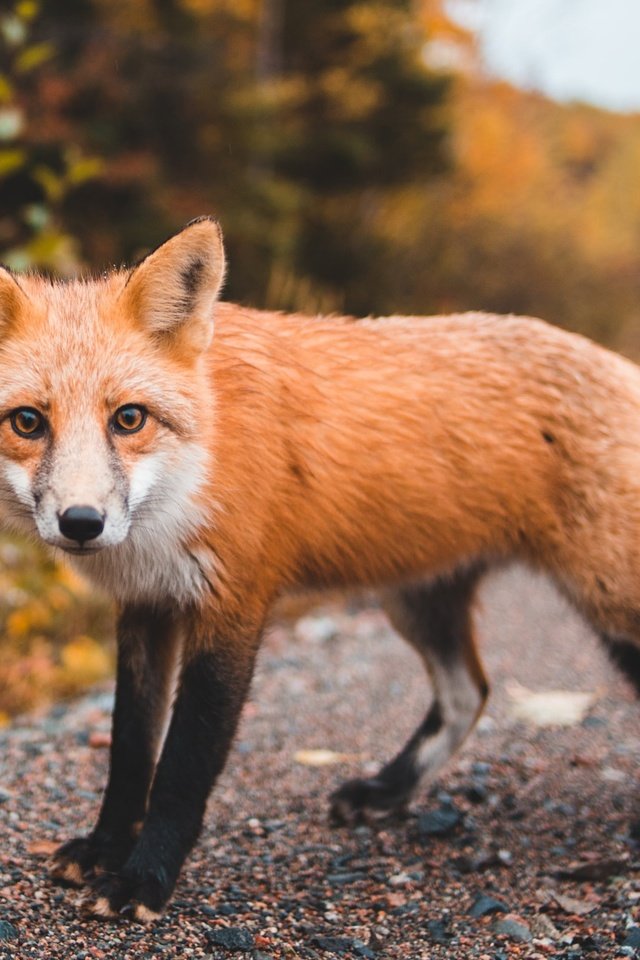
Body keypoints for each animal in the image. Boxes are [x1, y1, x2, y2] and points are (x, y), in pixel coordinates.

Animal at [1, 219, 640, 924]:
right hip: (416, 602)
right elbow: (130, 751)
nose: (81, 522)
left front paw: (145, 878)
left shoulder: (234, 602)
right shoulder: (147, 607)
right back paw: (387, 791)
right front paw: (105, 848)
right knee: (468, 692)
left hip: (609, 596)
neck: (195, 466)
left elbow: (182, 768)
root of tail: (616, 363)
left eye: (129, 418)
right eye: (27, 422)